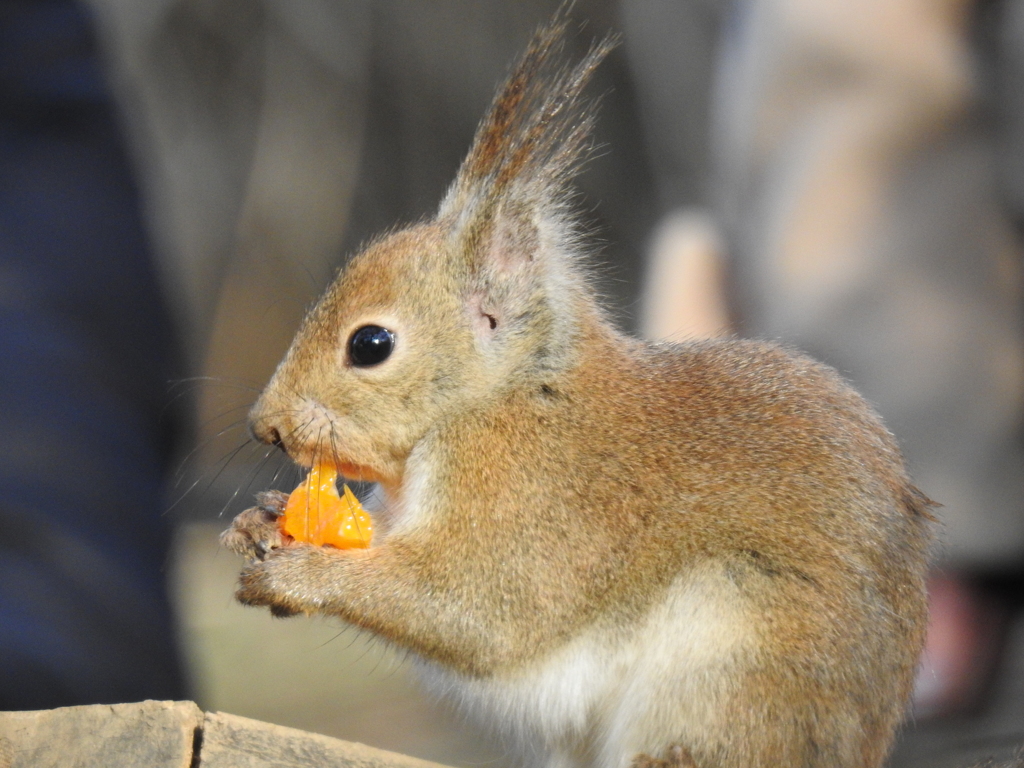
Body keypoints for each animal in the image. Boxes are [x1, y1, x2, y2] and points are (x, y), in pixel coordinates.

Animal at [222, 12, 937, 768]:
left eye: (370, 345)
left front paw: (301, 576)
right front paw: (261, 520)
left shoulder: (526, 497)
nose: (263, 426)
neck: (508, 394)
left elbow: (472, 605)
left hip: (735, 649)